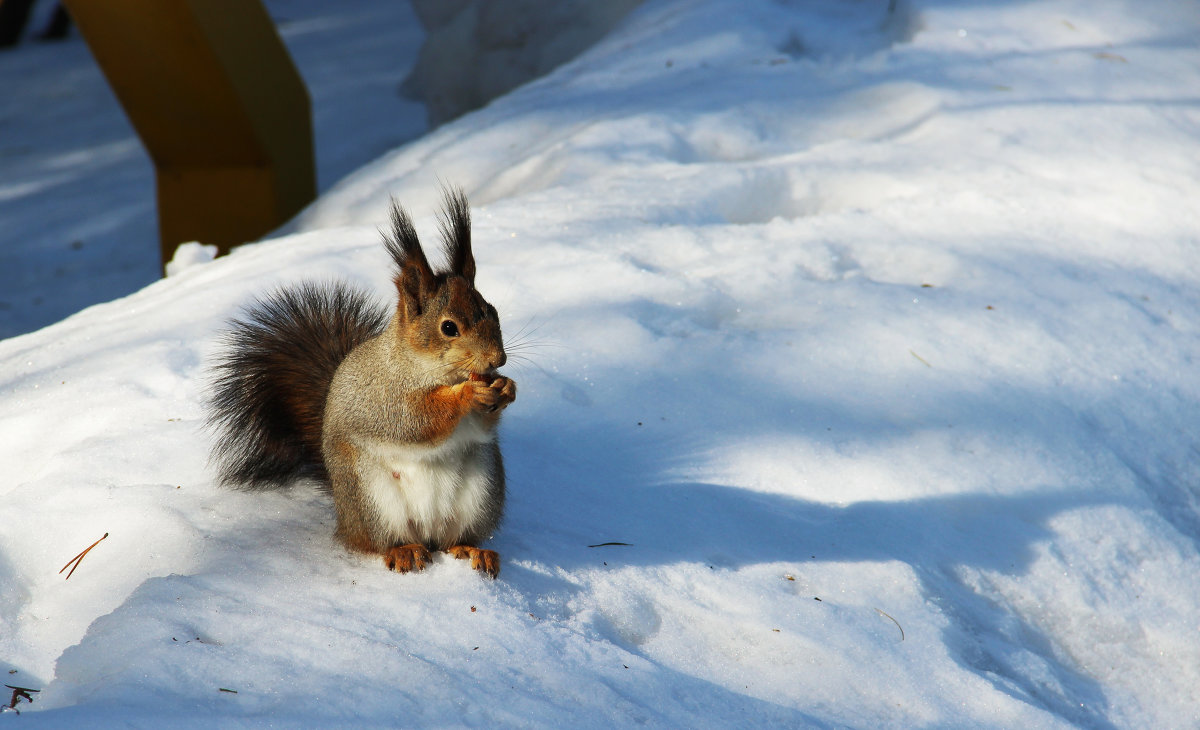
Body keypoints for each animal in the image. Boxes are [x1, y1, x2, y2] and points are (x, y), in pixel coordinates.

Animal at [206, 188, 516, 576]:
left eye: (493, 311)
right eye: (449, 327)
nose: (497, 360)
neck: (428, 369)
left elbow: (479, 427)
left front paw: (506, 387)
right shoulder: (382, 395)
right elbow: (414, 421)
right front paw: (466, 394)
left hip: (481, 491)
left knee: (453, 538)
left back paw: (471, 549)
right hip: (371, 496)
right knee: (374, 543)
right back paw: (403, 551)